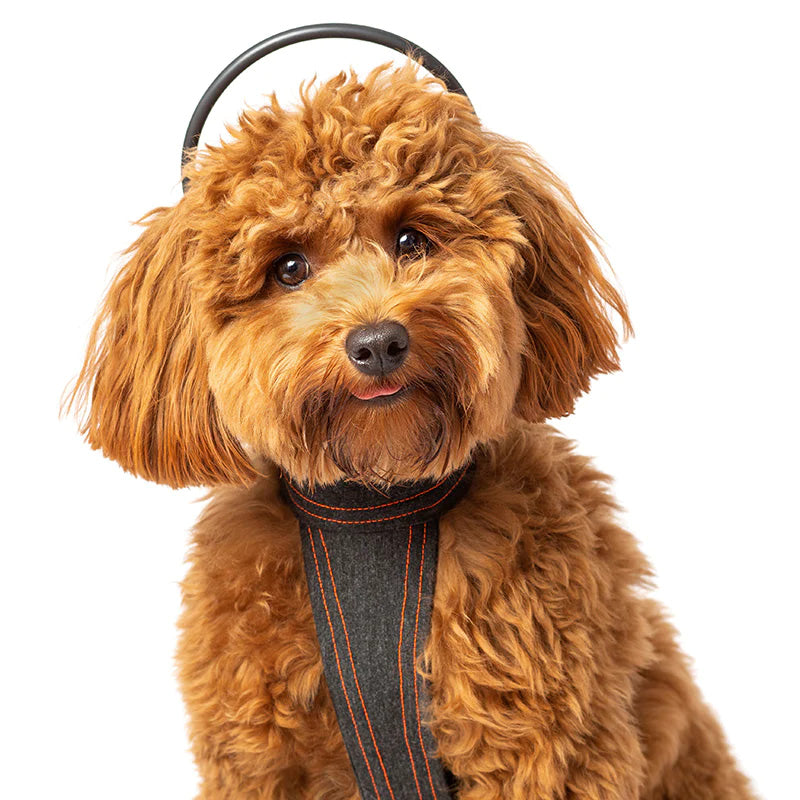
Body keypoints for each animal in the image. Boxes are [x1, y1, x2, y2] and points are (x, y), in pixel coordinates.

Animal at [70, 59, 756, 796]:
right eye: (289, 267)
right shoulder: (258, 760)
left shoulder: (548, 747)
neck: (377, 506)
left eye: (410, 240)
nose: (377, 343)